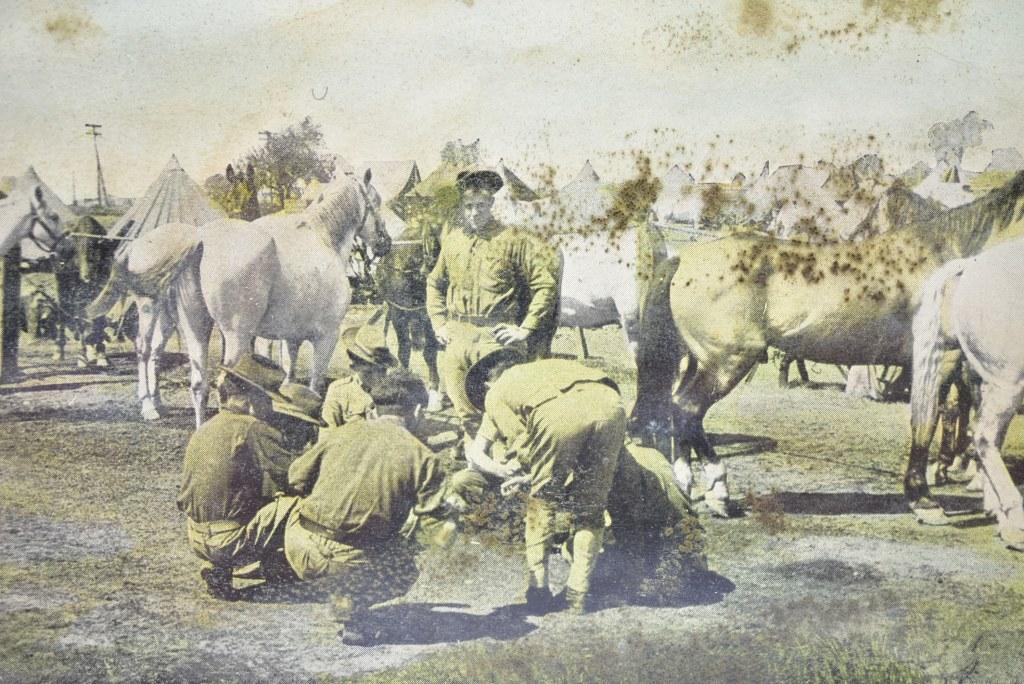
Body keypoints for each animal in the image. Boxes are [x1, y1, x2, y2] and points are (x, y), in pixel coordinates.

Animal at [90, 171, 387, 423]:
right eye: (377, 201)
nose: (385, 242)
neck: (324, 238)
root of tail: (199, 239)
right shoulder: (326, 336)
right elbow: (314, 386)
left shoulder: (290, 336)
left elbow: (289, 375)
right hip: (201, 325)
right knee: (153, 353)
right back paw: (152, 407)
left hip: (190, 325)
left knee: (190, 378)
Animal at [626, 174, 1024, 516]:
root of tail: (684, 259)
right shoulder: (943, 360)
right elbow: (927, 422)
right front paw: (924, 498)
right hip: (728, 361)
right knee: (688, 410)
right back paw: (719, 492)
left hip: (700, 360)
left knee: (678, 407)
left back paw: (687, 483)